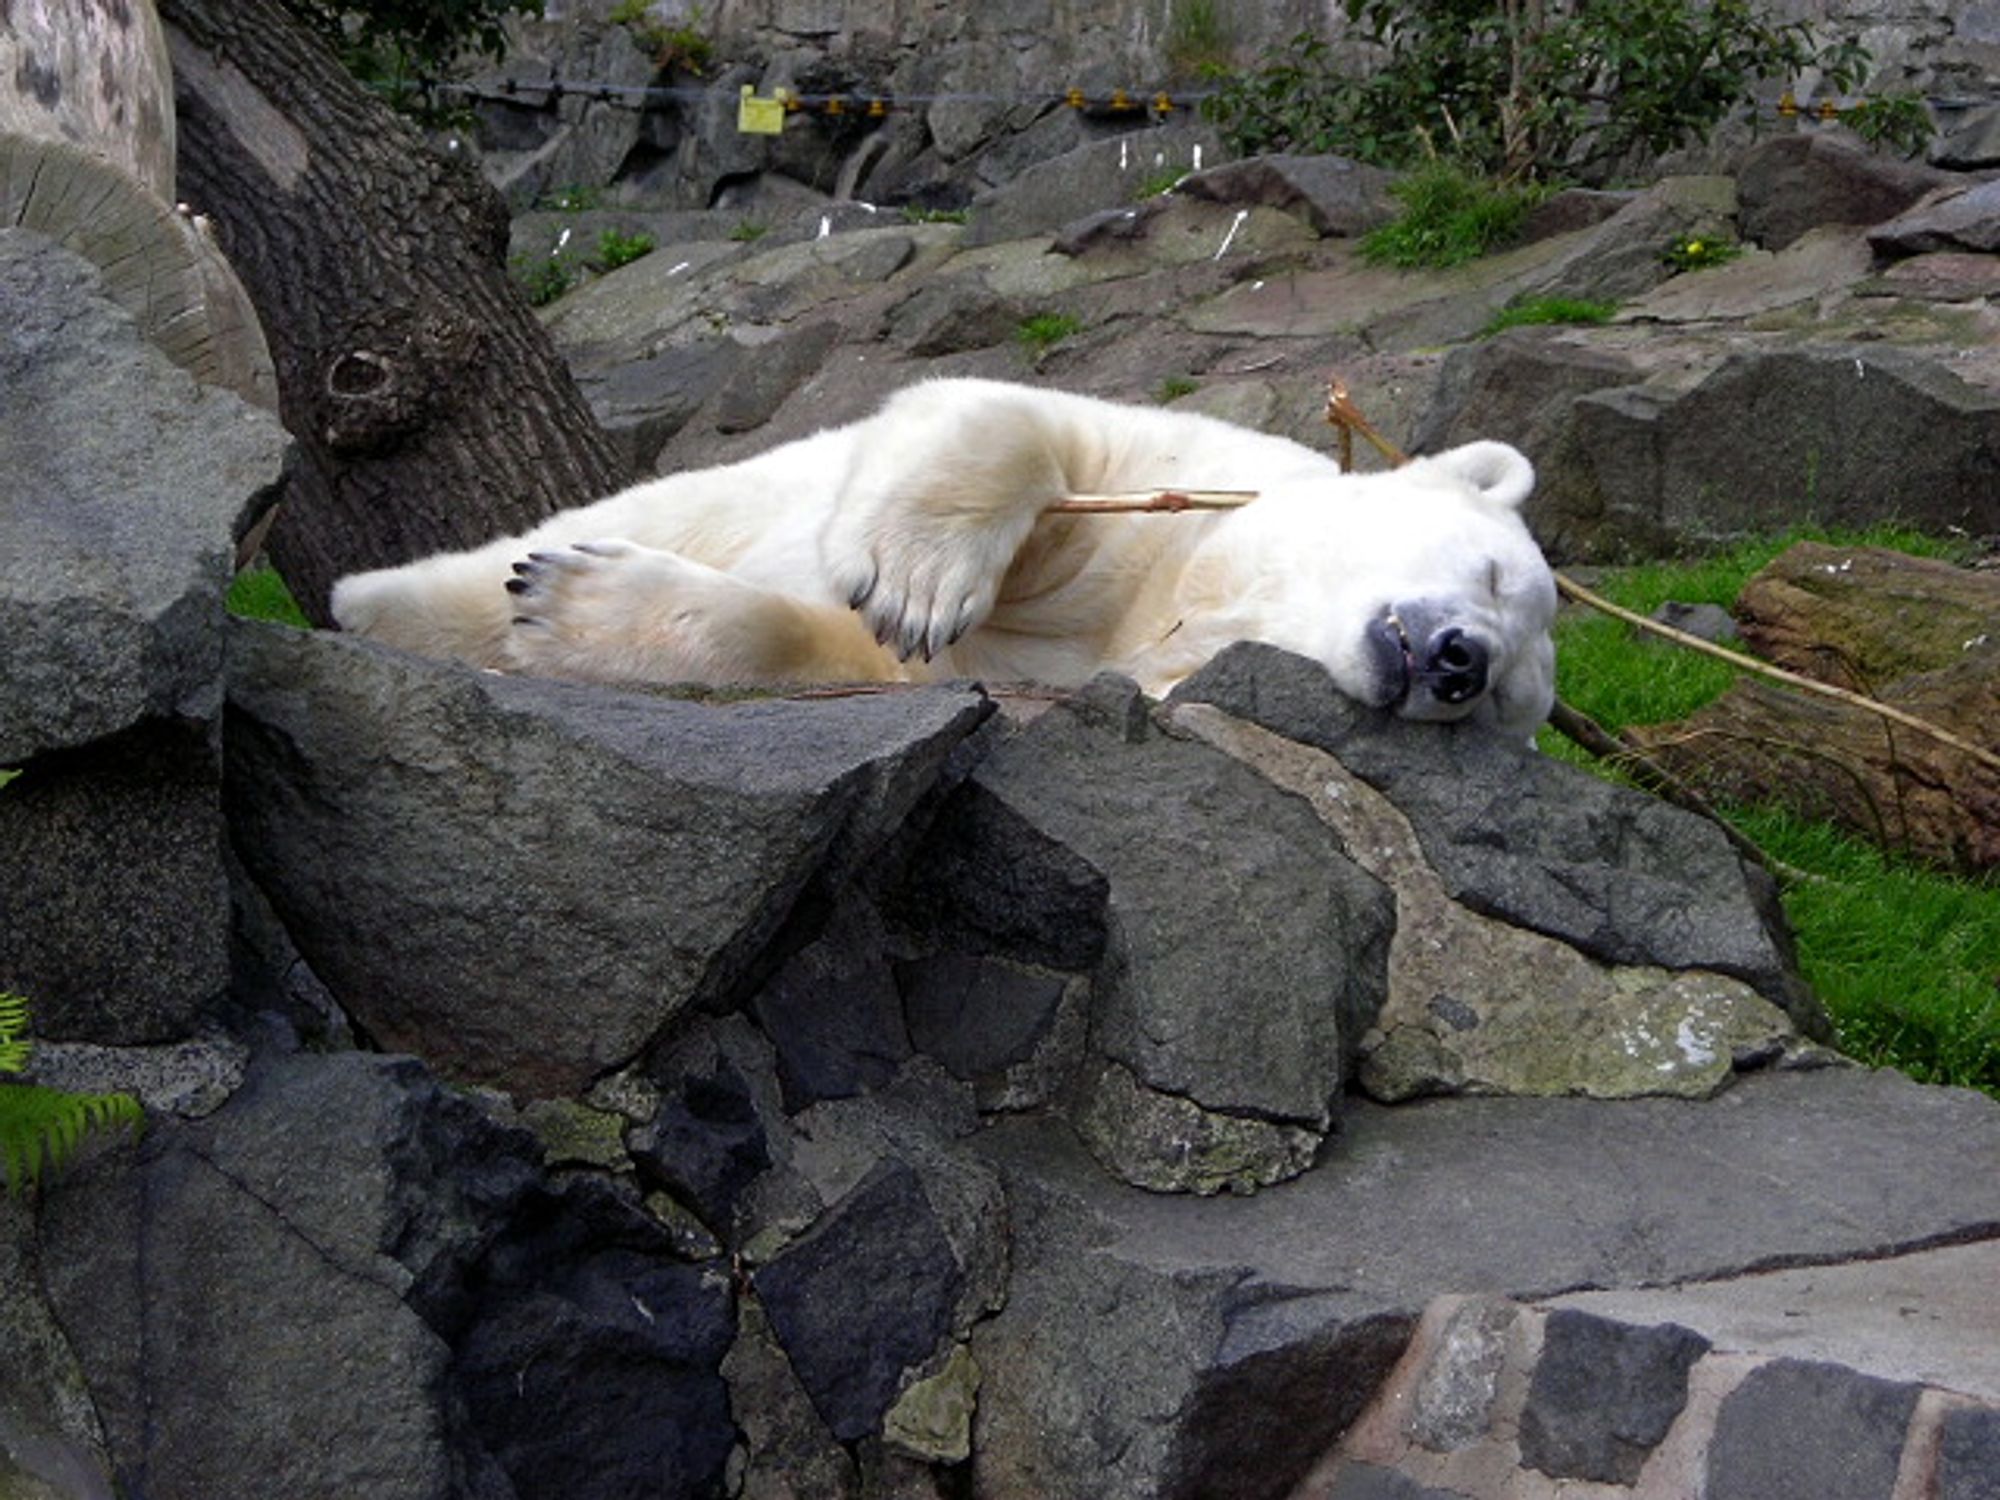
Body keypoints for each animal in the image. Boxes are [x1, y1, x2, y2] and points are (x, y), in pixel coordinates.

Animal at [332, 378, 1560, 736]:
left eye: (1505, 705)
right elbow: (1019, 423)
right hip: (737, 484)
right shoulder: (1183, 484)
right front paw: (918, 580)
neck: (1184, 598)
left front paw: (577, 613)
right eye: (1497, 576)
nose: (1459, 662)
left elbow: (850, 655)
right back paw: (377, 599)